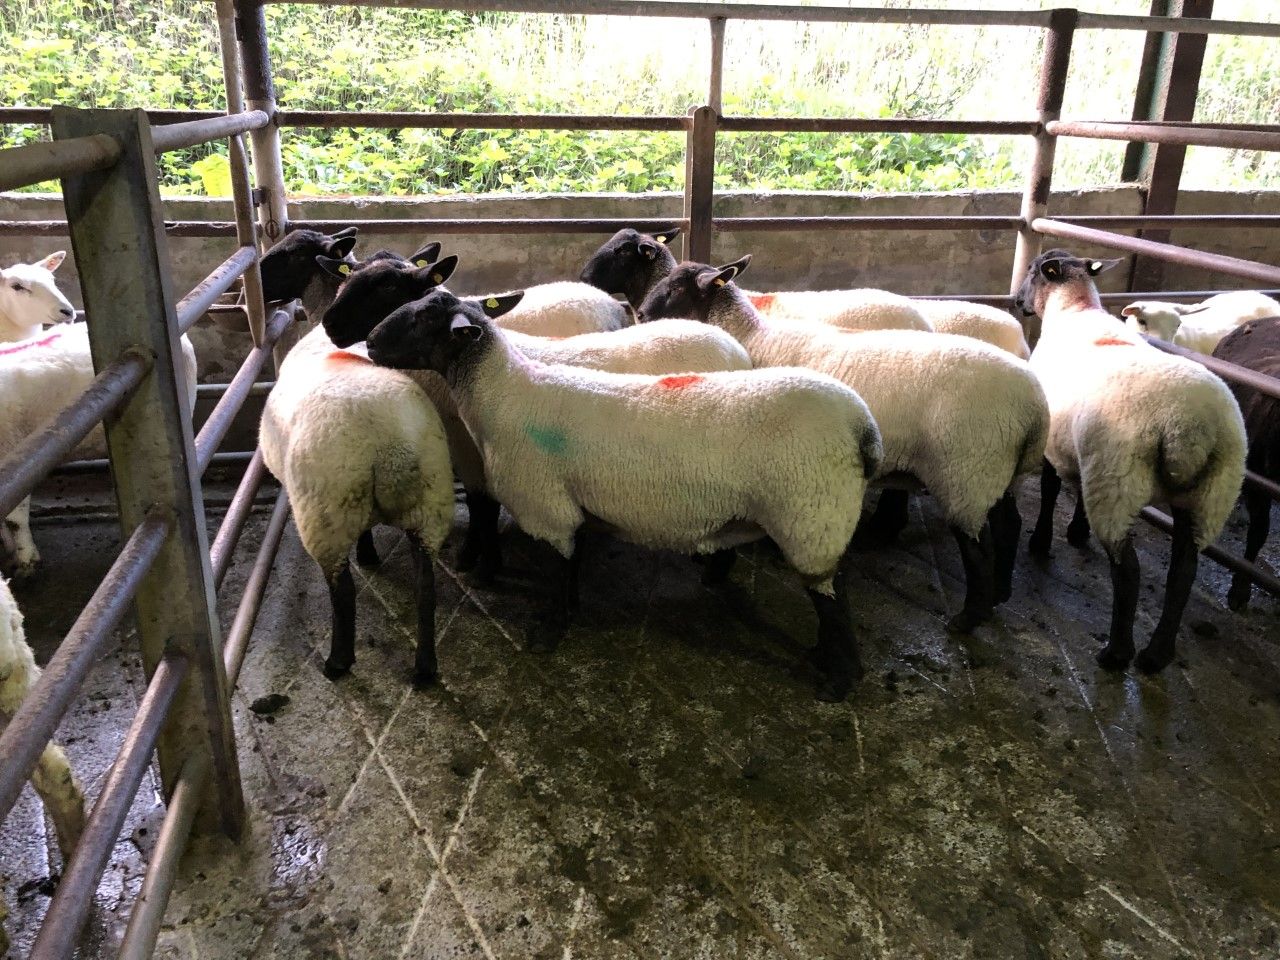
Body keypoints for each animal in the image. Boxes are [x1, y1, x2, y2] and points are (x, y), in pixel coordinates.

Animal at [321, 256, 755, 581]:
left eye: (387, 288)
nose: (329, 325)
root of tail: (735, 349)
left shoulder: (474, 455)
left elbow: (482, 509)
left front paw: (479, 561)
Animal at [352, 287, 882, 702]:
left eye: (423, 317)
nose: (370, 341)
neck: (504, 395)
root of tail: (863, 426)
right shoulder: (568, 507)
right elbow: (569, 565)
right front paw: (570, 610)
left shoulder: (545, 505)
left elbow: (554, 569)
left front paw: (548, 632)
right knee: (827, 588)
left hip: (812, 515)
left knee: (834, 597)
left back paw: (840, 679)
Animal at [638, 255, 1049, 634]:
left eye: (675, 288)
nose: (640, 313)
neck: (752, 337)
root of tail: (1036, 407)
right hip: (994, 469)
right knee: (1009, 525)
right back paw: (1000, 594)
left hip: (967, 471)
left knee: (978, 547)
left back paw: (967, 618)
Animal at [1014, 249, 1246, 673]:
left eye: (1034, 270)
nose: (1017, 302)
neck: (1074, 308)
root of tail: (1188, 427)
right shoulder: (1084, 450)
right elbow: (1076, 491)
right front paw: (1077, 530)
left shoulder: (1056, 440)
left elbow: (1051, 489)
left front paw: (1043, 540)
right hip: (1212, 492)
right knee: (1183, 571)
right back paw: (1157, 655)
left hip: (1118, 479)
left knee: (1128, 570)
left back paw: (1117, 653)